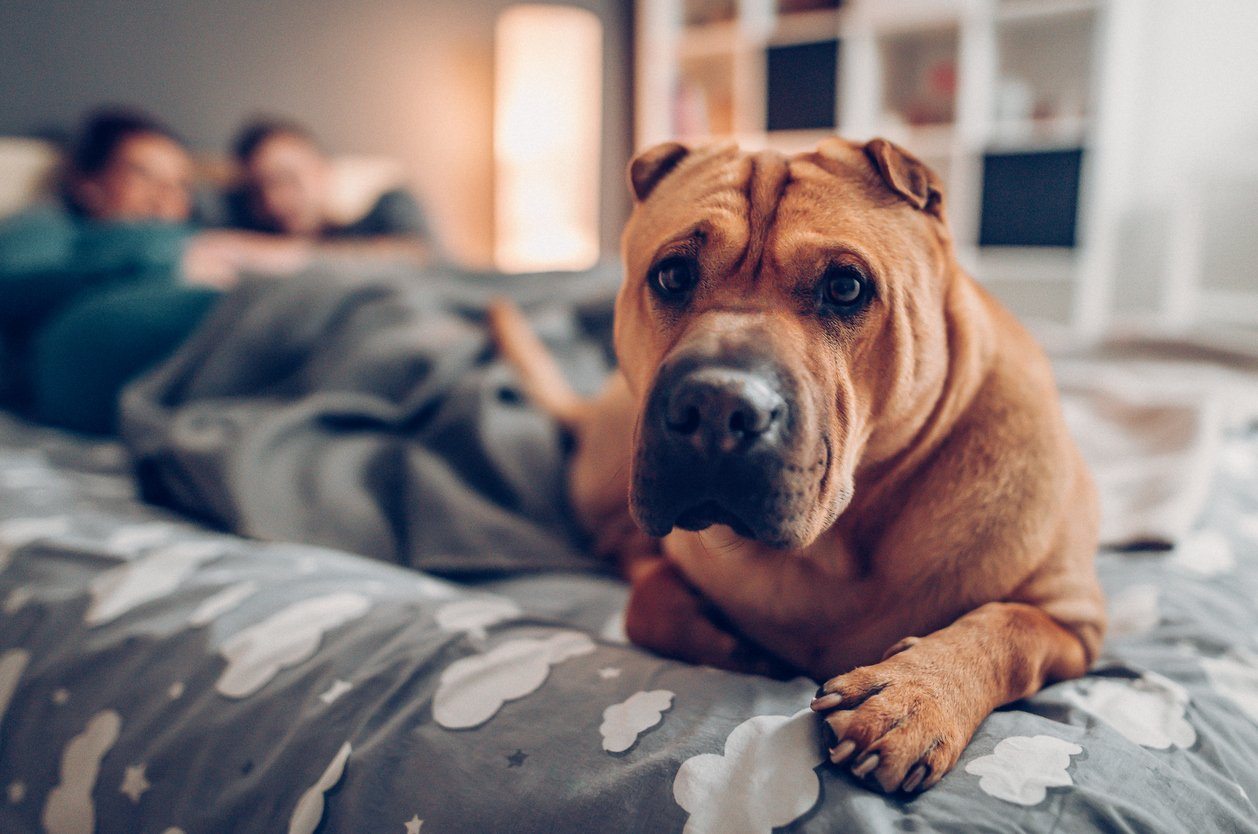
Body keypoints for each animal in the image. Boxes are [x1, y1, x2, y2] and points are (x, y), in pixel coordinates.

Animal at [485, 133, 1107, 795]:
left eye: (846, 288)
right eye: (672, 275)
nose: (715, 405)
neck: (836, 549)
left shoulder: (1074, 624)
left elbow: (1008, 629)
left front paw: (914, 698)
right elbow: (647, 606)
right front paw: (740, 650)